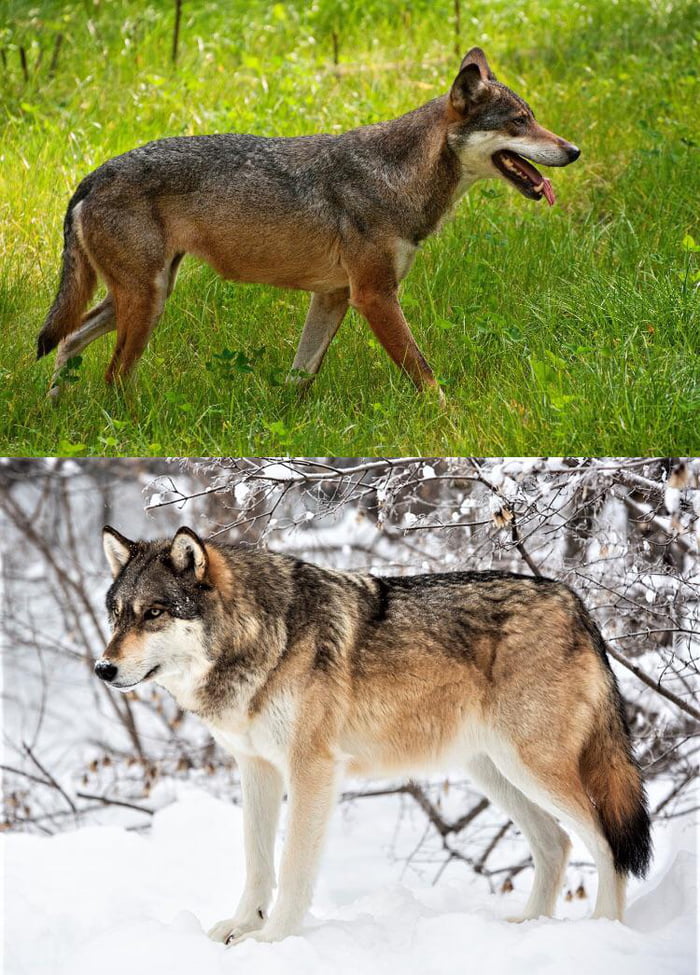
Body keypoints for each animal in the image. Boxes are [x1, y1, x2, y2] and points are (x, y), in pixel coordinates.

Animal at [39, 48, 579, 396]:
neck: (399, 176)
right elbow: (426, 378)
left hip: (144, 297)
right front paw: (452, 421)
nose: (574, 150)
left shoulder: (333, 296)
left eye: (533, 117)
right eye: (519, 122)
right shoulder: (374, 296)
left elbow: (299, 379)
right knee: (111, 377)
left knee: (65, 344)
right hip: (146, 302)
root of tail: (93, 176)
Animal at [95, 525, 651, 945]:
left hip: (532, 769)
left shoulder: (312, 769)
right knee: (556, 844)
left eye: (154, 613)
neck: (262, 636)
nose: (103, 668)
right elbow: (257, 863)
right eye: (117, 614)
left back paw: (603, 930)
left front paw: (272, 940)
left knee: (606, 843)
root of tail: (576, 603)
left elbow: (292, 868)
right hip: (496, 773)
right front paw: (240, 928)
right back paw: (527, 927)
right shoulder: (256, 769)